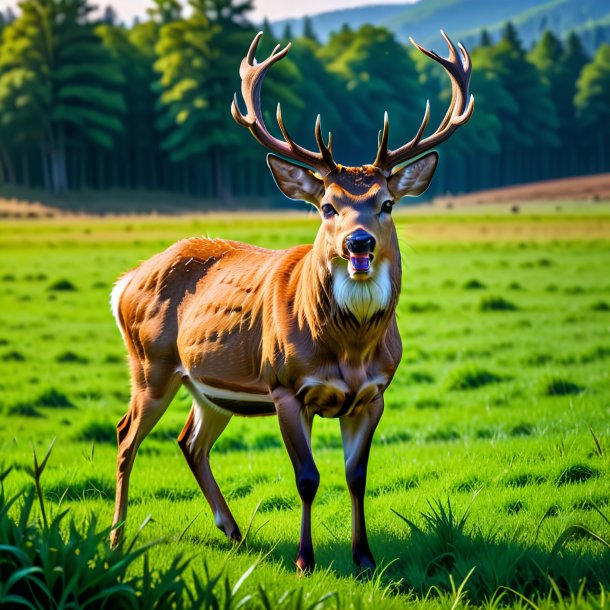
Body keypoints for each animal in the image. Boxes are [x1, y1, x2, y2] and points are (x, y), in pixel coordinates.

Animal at [108, 29, 470, 568]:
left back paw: (233, 530)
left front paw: (364, 558)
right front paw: (305, 560)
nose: (359, 243)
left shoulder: (374, 394)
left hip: (207, 387)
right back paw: (115, 539)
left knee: (190, 441)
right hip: (151, 364)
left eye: (387, 203)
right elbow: (307, 478)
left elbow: (356, 477)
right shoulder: (285, 386)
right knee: (125, 435)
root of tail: (125, 282)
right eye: (327, 206)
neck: (350, 352)